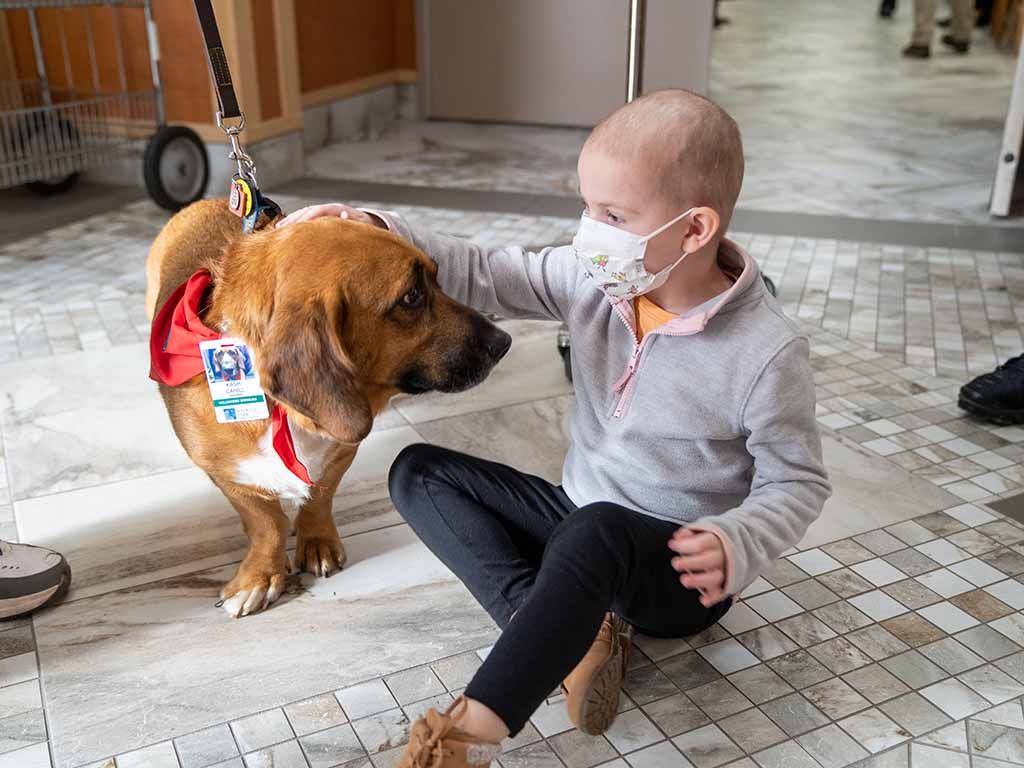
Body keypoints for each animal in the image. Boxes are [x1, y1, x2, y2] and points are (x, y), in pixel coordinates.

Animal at [144, 199, 512, 618]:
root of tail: (206, 202)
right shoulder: (227, 474)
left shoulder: (341, 451)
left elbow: (320, 496)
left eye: (437, 278)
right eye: (411, 297)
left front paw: (316, 540)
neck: (283, 412)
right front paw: (260, 576)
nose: (503, 342)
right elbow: (265, 522)